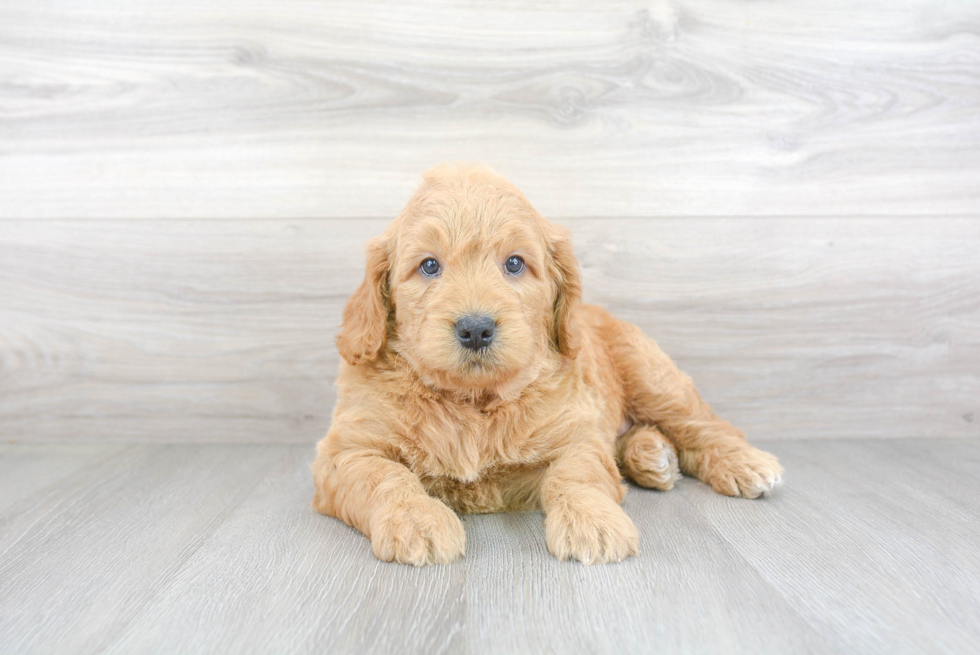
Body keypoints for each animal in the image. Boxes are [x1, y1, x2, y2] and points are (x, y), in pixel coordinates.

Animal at [312, 163, 780, 564]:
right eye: (429, 266)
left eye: (515, 263)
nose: (476, 328)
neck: (473, 402)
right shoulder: (345, 452)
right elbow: (384, 478)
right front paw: (417, 520)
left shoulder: (577, 435)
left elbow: (574, 475)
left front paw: (594, 523)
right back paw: (652, 455)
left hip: (652, 375)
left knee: (704, 424)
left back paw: (743, 463)